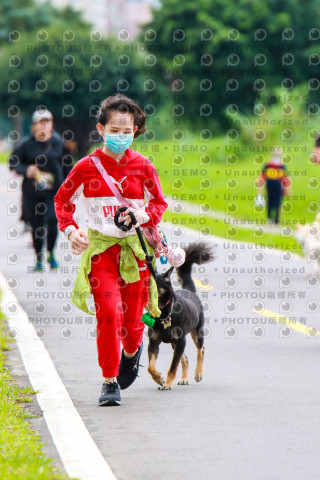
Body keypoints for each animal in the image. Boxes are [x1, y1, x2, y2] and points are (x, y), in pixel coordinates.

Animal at [148, 242, 215, 392]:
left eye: (156, 283)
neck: (165, 314)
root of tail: (189, 290)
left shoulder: (180, 341)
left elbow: (173, 367)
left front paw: (167, 384)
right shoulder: (154, 342)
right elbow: (150, 366)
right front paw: (159, 378)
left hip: (196, 332)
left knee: (201, 349)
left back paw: (198, 373)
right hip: (175, 343)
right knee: (185, 358)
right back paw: (184, 378)